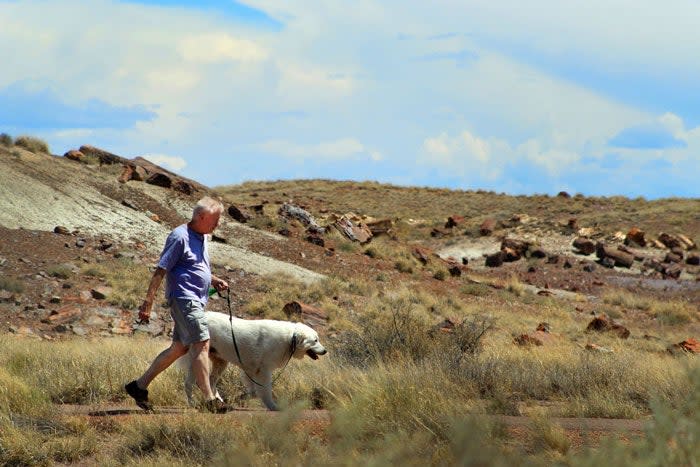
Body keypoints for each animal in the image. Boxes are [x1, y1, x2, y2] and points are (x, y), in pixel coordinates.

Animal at [180, 312, 328, 412]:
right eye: (315, 340)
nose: (325, 351)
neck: (291, 339)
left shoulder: (251, 370)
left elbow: (253, 392)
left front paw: (242, 397)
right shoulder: (264, 371)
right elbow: (265, 390)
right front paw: (273, 406)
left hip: (221, 362)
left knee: (211, 380)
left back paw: (219, 400)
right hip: (197, 358)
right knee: (190, 383)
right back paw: (192, 403)